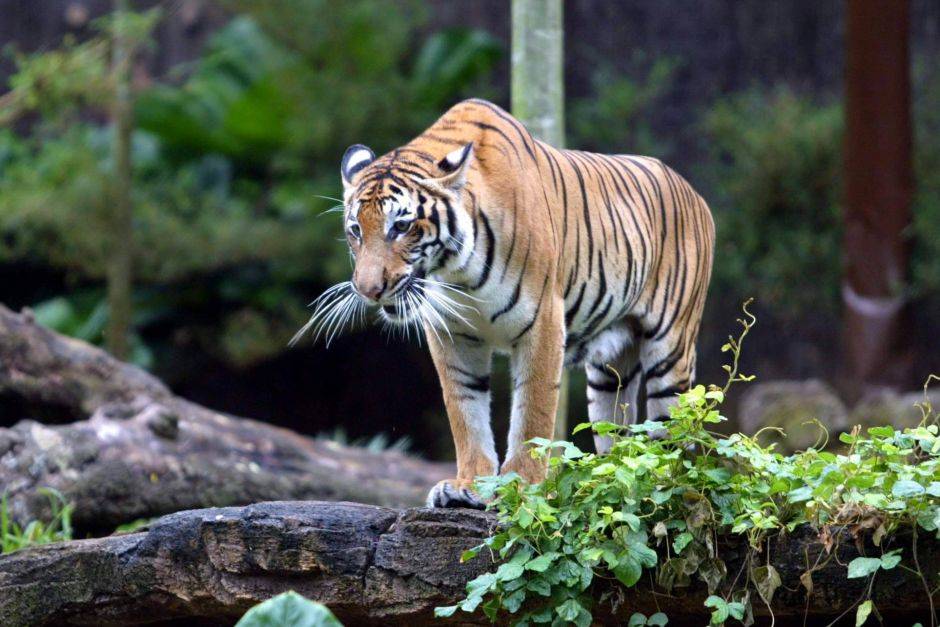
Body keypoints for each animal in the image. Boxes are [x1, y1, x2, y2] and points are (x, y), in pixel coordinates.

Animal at [306, 98, 714, 508]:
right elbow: (464, 408)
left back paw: (665, 489)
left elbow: (533, 411)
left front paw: (522, 486)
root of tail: (694, 193)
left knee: (675, 433)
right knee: (618, 435)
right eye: (356, 230)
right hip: (609, 371)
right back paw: (609, 486)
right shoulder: (452, 333)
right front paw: (467, 485)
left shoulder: (544, 322)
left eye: (401, 227)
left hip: (671, 352)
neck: (457, 272)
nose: (368, 289)